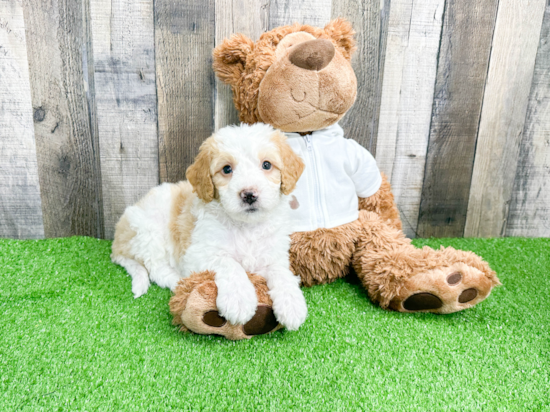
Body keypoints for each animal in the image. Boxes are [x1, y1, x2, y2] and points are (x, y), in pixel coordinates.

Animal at [111, 123, 310, 332]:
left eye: (266, 165)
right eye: (227, 169)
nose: (249, 194)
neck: (246, 226)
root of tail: (117, 242)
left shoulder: (273, 254)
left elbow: (281, 272)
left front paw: (292, 304)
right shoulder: (197, 253)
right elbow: (228, 262)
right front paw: (238, 300)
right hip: (148, 232)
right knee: (155, 268)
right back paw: (178, 280)